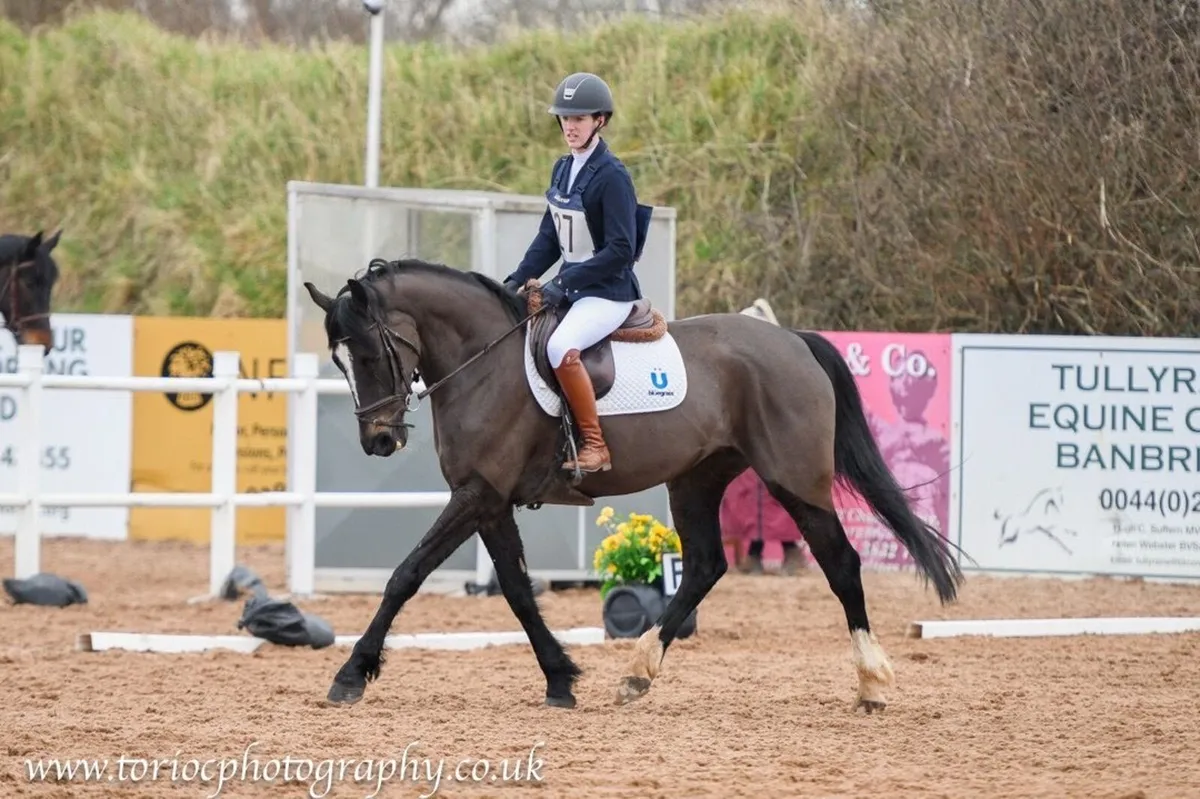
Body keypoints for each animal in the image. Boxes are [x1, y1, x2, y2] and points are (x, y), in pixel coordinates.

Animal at [302, 257, 965, 713]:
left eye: (367, 352)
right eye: (338, 360)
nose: (378, 440)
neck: (483, 364)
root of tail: (793, 340)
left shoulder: (475, 497)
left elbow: (405, 575)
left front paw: (350, 675)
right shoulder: (489, 502)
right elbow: (516, 591)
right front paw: (560, 678)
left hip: (794, 480)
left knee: (840, 563)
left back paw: (872, 683)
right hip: (696, 480)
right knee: (704, 566)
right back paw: (638, 672)